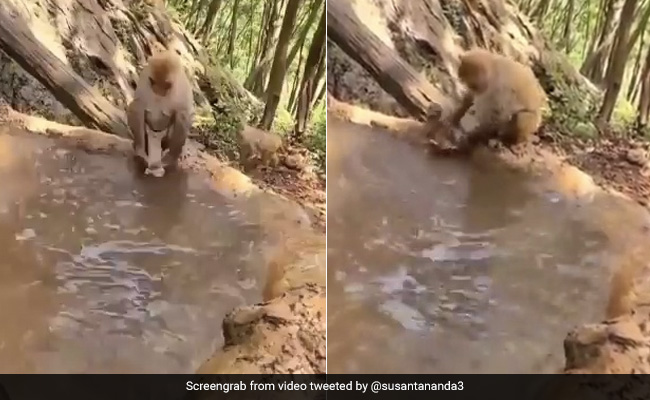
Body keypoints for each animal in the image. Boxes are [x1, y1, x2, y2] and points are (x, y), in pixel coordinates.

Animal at [126, 48, 194, 177]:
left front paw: (171, 158)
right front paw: (141, 152)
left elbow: (183, 115)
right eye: (153, 81)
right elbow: (138, 106)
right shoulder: (145, 77)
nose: (158, 91)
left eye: (167, 85)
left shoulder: (182, 91)